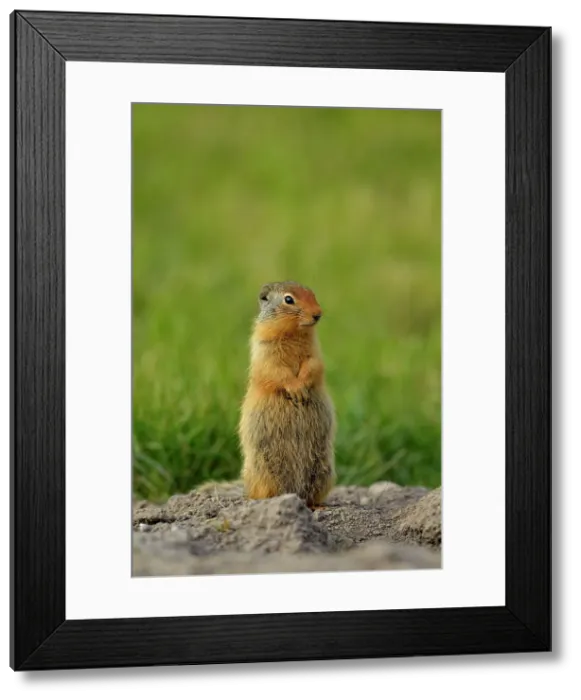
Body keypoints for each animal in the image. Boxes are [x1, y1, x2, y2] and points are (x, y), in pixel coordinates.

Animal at [238, 281, 336, 511]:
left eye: (313, 293)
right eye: (289, 299)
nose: (318, 314)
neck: (294, 333)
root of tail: (295, 493)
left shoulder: (314, 351)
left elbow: (313, 365)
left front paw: (302, 388)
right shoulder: (264, 347)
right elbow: (275, 369)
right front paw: (296, 389)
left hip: (324, 470)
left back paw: (317, 506)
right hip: (262, 470)